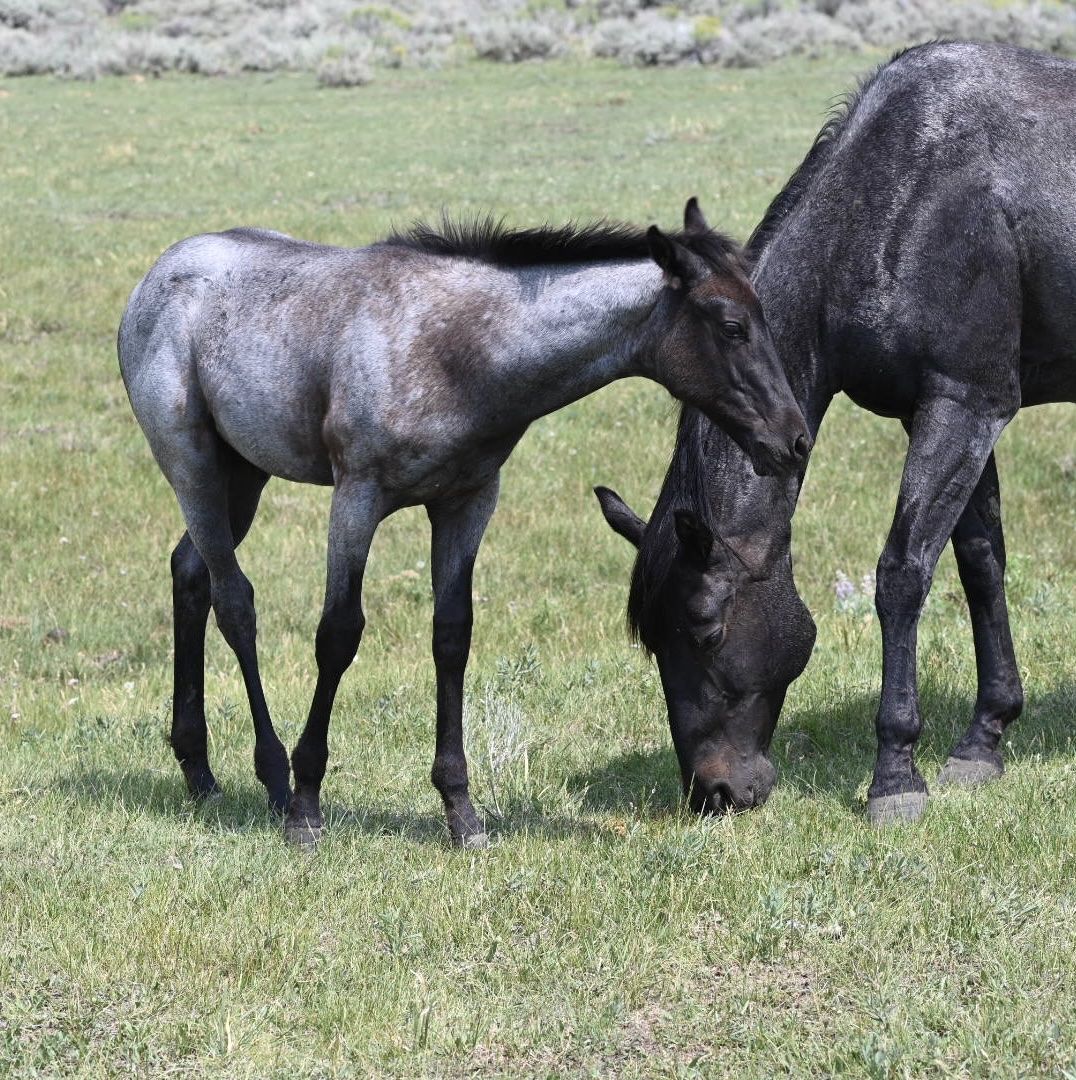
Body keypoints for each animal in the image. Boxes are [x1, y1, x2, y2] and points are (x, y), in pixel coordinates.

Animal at [118, 199, 811, 847]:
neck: (457, 351)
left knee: (190, 571)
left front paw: (462, 813)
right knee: (234, 599)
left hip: (244, 472)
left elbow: (452, 636)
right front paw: (308, 808)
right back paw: (273, 778)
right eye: (731, 326)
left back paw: (198, 769)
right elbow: (338, 633)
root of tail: (152, 280)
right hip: (192, 462)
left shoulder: (466, 501)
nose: (795, 440)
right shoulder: (357, 495)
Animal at [595, 42, 1076, 826]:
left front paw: (896, 775)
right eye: (653, 638)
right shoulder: (948, 410)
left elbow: (904, 573)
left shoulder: (964, 405)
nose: (713, 792)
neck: (905, 195)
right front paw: (985, 738)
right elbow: (980, 561)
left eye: (704, 626)